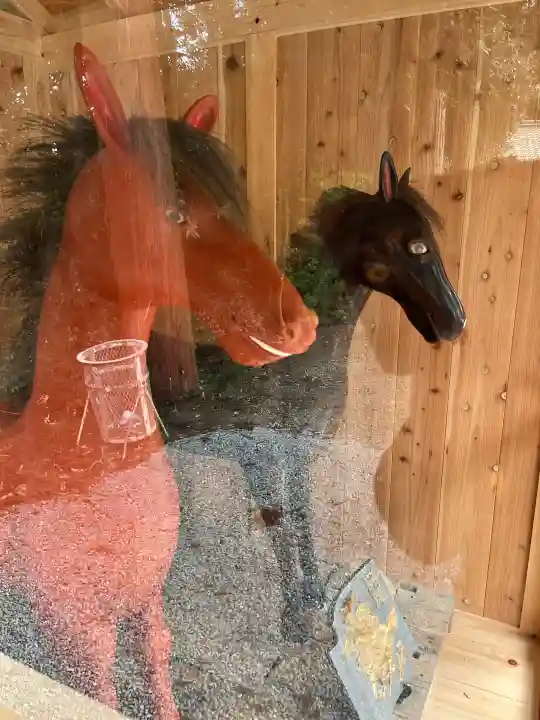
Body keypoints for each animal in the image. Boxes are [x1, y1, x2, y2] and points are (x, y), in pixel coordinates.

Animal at [149, 152, 467, 643]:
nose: (455, 321)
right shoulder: (265, 458)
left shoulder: (301, 451)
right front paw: (294, 620)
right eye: (417, 246)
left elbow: (302, 519)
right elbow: (281, 528)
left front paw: (313, 598)